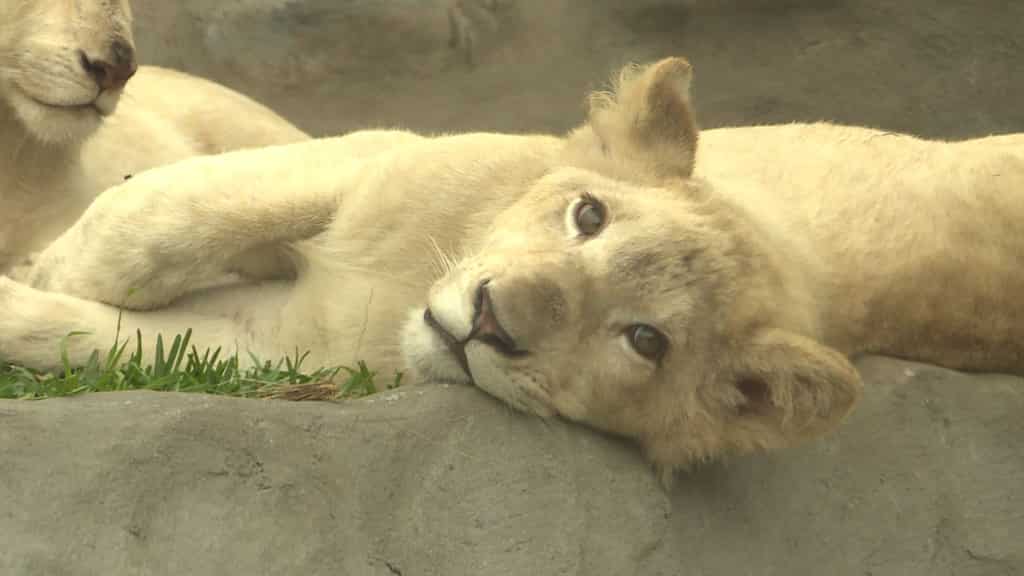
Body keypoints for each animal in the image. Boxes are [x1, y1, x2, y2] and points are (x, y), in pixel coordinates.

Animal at [2, 57, 1022, 480]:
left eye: (645, 340)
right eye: (589, 215)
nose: (491, 317)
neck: (393, 299)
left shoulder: (284, 350)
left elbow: (117, 337)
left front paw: (34, 292)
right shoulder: (378, 156)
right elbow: (165, 217)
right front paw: (54, 259)